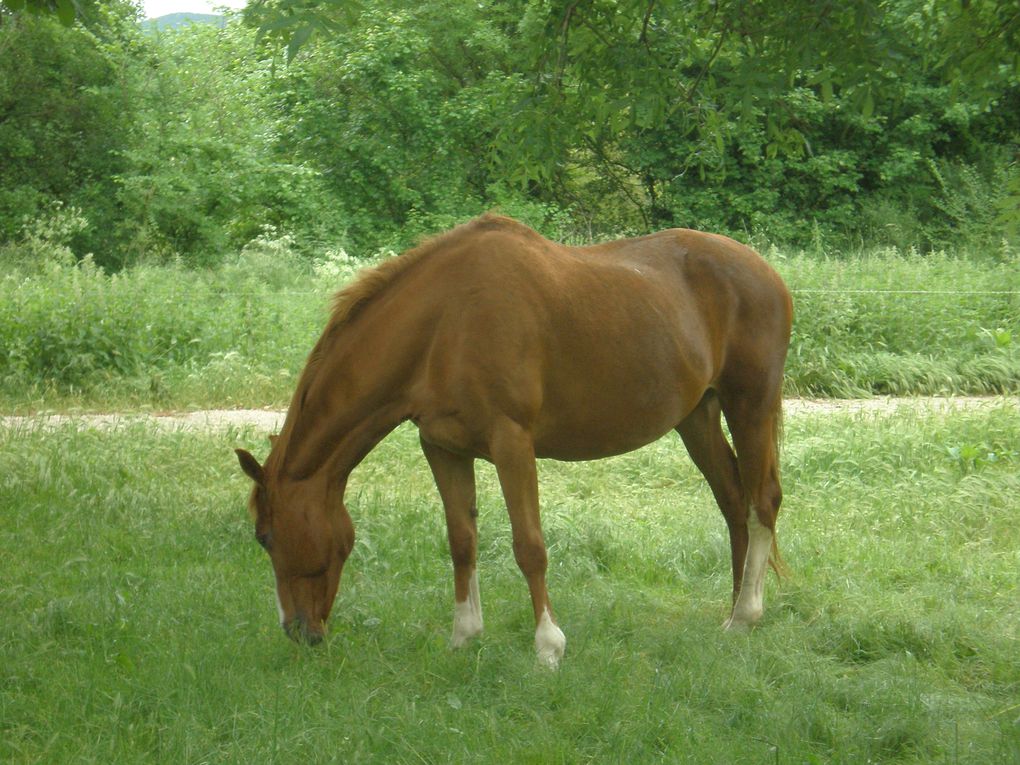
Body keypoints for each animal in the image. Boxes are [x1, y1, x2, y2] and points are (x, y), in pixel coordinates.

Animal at [234, 213, 791, 669]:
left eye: (265, 536)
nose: (298, 632)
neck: (443, 323)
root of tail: (767, 274)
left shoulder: (512, 444)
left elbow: (530, 546)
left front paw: (548, 646)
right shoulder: (442, 448)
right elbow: (461, 540)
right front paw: (464, 636)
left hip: (750, 405)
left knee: (762, 501)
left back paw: (747, 615)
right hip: (697, 417)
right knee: (733, 501)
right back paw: (733, 613)